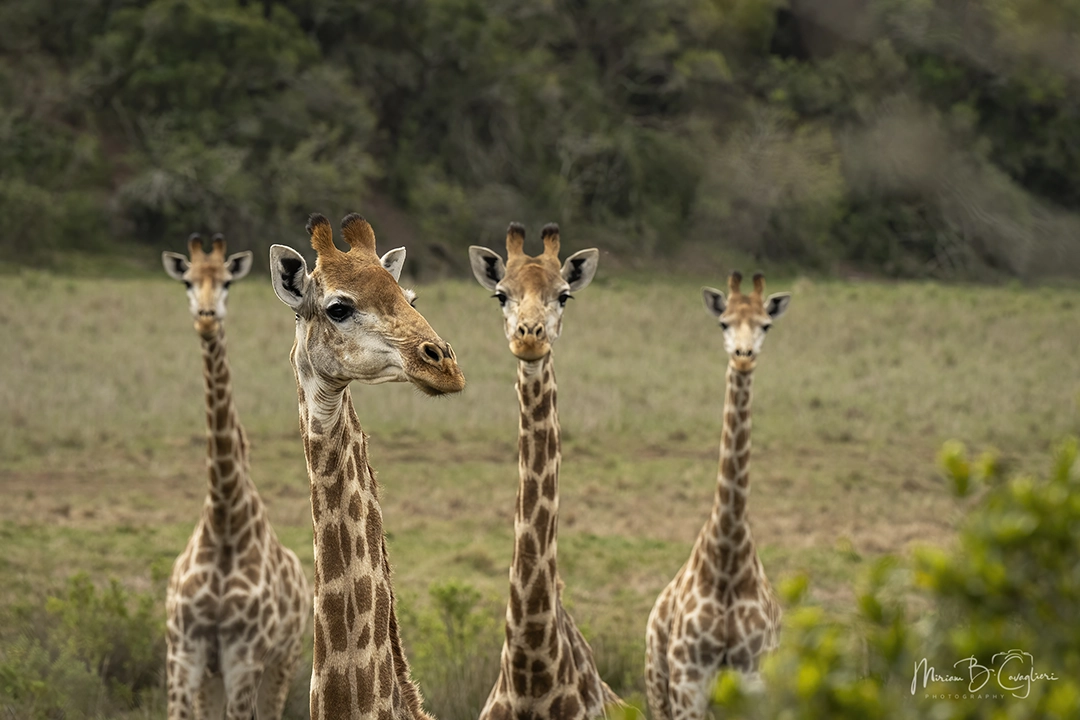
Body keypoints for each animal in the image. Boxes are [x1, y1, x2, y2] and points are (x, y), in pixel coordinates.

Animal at [162, 234, 310, 720]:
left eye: (227, 282)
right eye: (187, 281)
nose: (207, 320)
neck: (224, 517)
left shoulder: (244, 659)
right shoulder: (183, 654)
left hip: (282, 662)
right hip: (213, 675)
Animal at [644, 271, 791, 720]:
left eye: (765, 325)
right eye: (724, 322)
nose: (743, 356)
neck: (726, 558)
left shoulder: (752, 674)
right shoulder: (688, 678)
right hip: (657, 687)